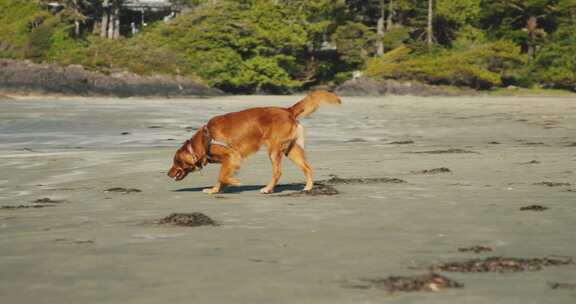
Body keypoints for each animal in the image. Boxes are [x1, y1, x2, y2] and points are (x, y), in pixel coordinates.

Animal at [166, 91, 340, 194]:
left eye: (175, 162)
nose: (168, 174)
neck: (203, 140)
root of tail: (288, 110)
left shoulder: (232, 156)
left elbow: (222, 176)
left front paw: (235, 182)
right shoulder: (229, 160)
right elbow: (221, 178)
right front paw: (214, 190)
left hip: (274, 149)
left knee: (278, 172)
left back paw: (268, 189)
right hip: (291, 150)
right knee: (307, 167)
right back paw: (308, 187)